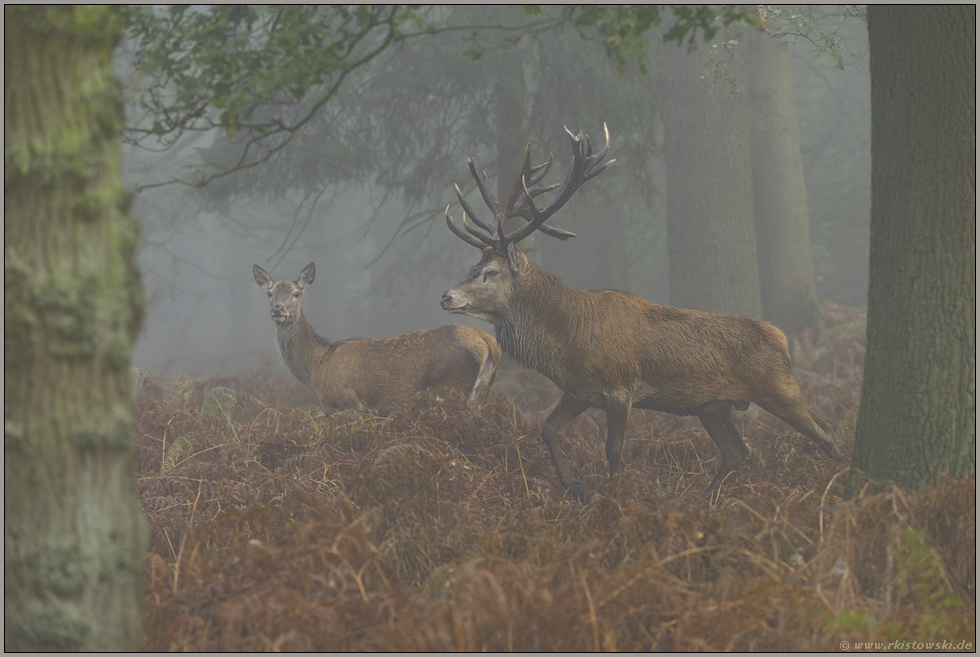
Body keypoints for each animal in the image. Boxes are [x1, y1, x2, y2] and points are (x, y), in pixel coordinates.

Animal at [440, 125, 840, 500]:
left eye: (492, 272)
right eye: (474, 266)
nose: (445, 296)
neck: (568, 342)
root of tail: (781, 337)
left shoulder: (621, 388)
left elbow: (614, 451)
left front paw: (615, 498)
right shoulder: (578, 391)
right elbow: (547, 428)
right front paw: (575, 486)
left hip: (780, 387)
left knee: (827, 435)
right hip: (713, 407)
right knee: (737, 451)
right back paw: (704, 500)